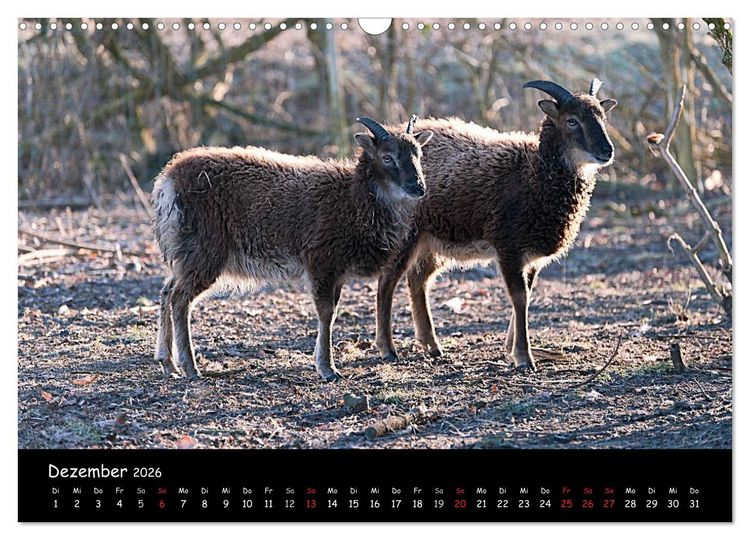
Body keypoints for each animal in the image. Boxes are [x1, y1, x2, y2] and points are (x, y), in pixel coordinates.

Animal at [152, 116, 433, 382]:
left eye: (418, 155)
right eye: (387, 157)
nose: (419, 188)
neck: (353, 201)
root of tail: (168, 182)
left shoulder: (337, 271)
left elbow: (332, 312)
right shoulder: (321, 262)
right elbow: (326, 313)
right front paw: (327, 369)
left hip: (185, 251)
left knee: (167, 291)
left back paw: (168, 364)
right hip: (203, 251)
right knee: (180, 299)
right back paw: (190, 368)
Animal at [375, 79, 617, 370]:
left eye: (602, 117)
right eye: (572, 120)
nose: (607, 151)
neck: (534, 173)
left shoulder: (531, 255)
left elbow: (527, 294)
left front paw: (511, 348)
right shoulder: (508, 245)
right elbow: (519, 297)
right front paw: (524, 357)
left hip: (433, 238)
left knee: (418, 279)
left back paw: (432, 345)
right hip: (406, 234)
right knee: (387, 281)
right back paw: (388, 349)